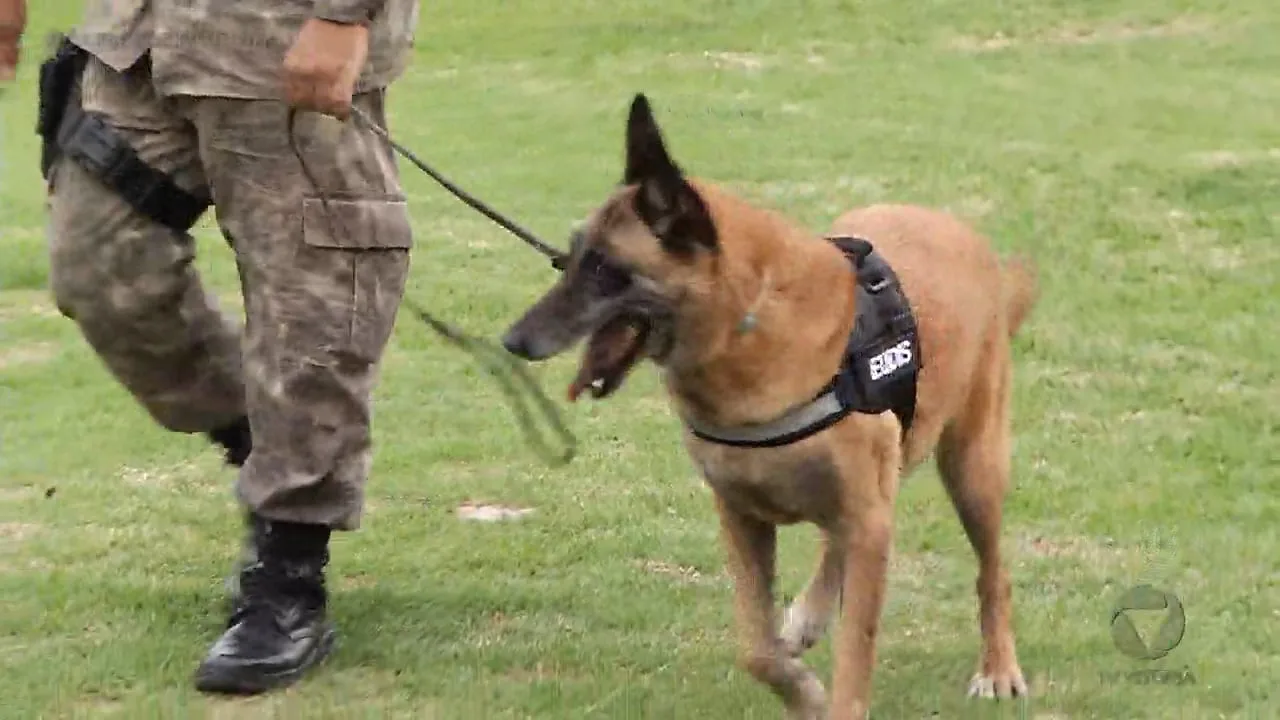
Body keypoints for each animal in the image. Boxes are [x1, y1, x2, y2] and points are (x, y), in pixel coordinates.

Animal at [499, 95, 1039, 717]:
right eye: (567, 261)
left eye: (605, 270)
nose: (512, 341)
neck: (748, 326)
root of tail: (964, 235)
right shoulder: (743, 518)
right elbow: (757, 651)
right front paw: (804, 692)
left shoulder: (866, 517)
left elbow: (855, 651)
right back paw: (809, 615)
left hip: (973, 470)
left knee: (992, 573)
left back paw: (998, 668)